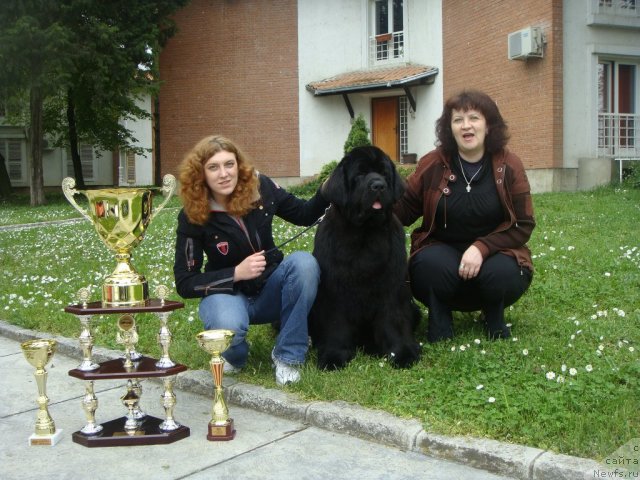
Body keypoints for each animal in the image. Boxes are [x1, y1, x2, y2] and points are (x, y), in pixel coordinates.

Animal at [308, 146, 422, 372]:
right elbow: (336, 323)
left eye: (385, 174)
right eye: (360, 175)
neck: (364, 233)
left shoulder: (393, 287)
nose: (378, 185)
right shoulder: (334, 291)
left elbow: (394, 318)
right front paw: (334, 355)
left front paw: (403, 352)